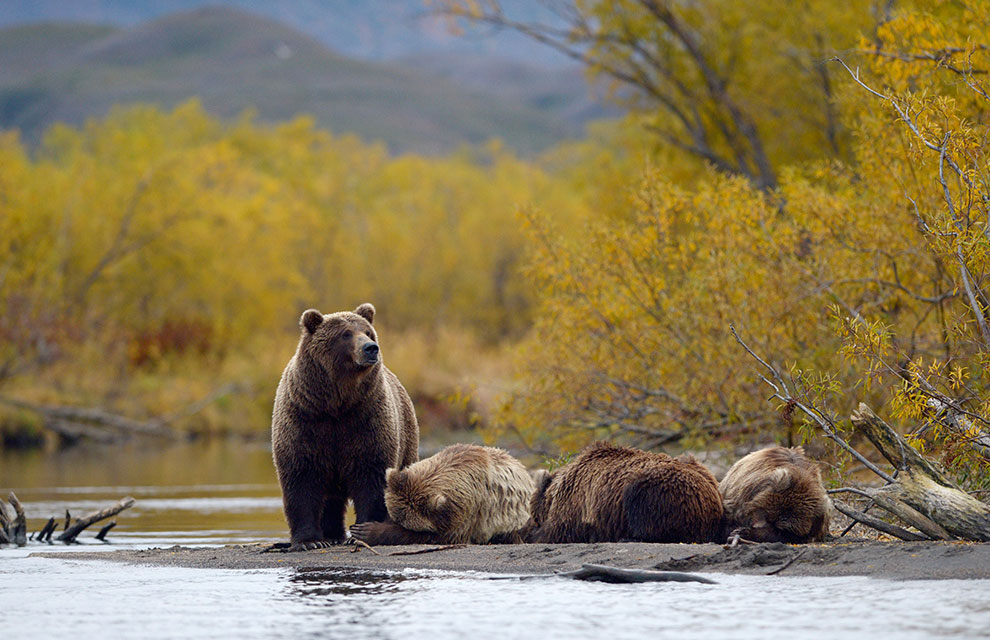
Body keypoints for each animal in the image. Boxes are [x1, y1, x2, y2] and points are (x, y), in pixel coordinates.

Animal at [272, 304, 418, 552]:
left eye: (368, 332)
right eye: (345, 334)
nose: (371, 348)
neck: (336, 405)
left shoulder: (366, 420)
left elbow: (373, 476)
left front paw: (362, 532)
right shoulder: (303, 421)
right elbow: (301, 481)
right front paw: (309, 541)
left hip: (406, 434)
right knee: (330, 499)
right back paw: (331, 535)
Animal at [524, 442, 724, 544]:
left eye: (533, 514)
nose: (529, 522)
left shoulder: (575, 506)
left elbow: (558, 531)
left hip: (659, 489)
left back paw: (628, 537)